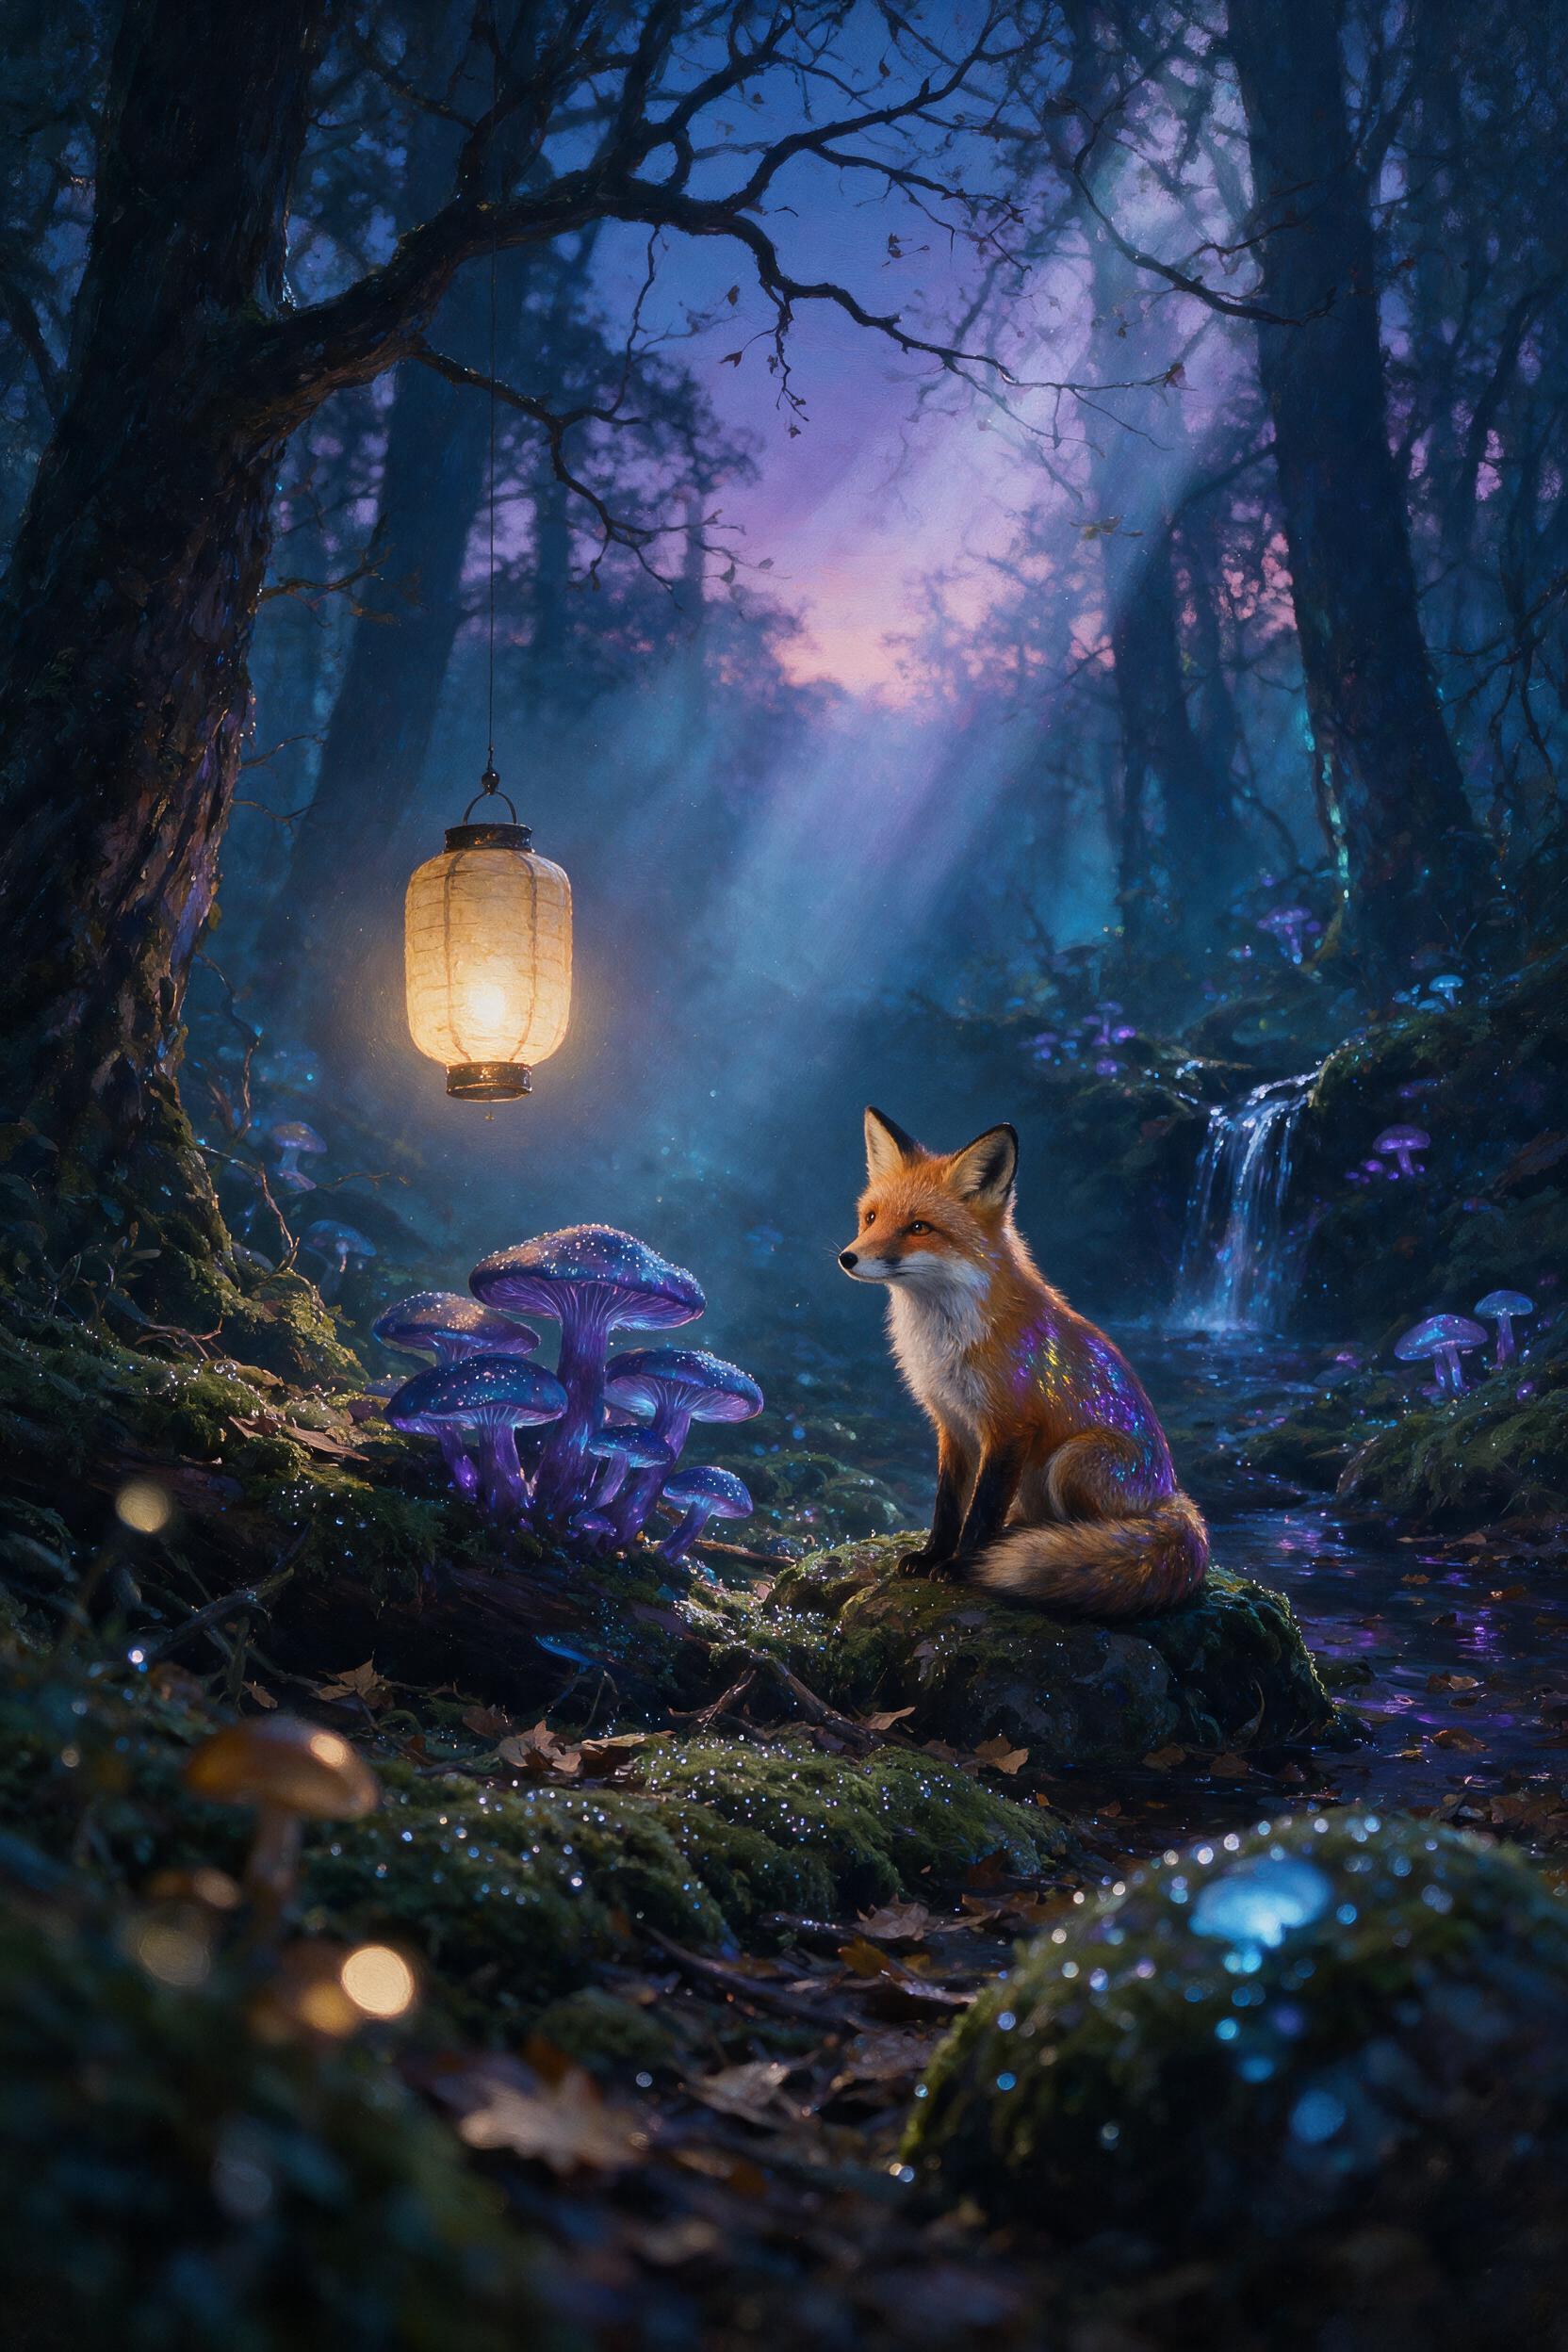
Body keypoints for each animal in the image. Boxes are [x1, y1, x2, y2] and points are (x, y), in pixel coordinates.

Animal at [838, 1106, 1208, 1616]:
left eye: (919, 1227)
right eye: (871, 1217)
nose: (847, 1257)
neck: (944, 1341)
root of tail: (1171, 1496)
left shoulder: (1010, 1425)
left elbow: (982, 1508)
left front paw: (961, 1567)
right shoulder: (950, 1422)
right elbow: (947, 1504)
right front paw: (932, 1555)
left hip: (1071, 1460)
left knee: (1091, 1530)